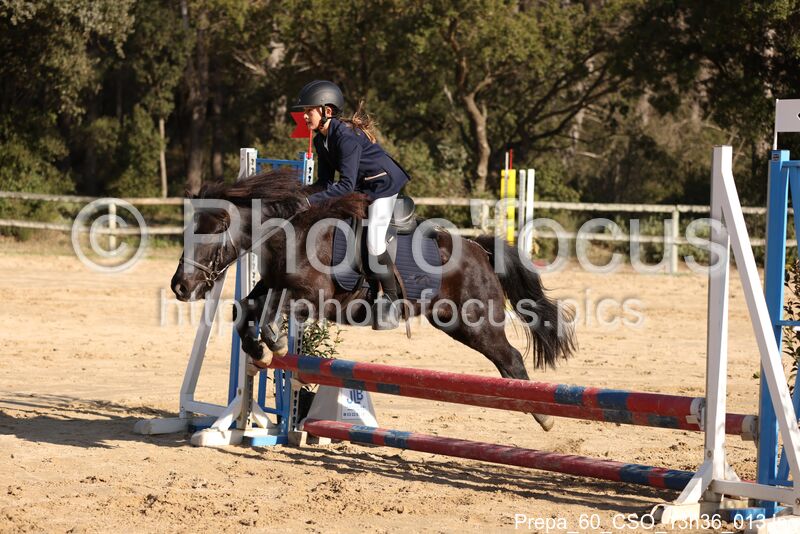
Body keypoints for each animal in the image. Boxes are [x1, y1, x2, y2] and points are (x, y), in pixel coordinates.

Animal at [170, 167, 576, 431]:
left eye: (212, 233)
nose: (180, 287)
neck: (290, 232)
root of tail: (479, 249)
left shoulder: (313, 297)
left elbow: (274, 317)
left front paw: (275, 345)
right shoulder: (271, 285)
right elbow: (243, 310)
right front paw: (260, 353)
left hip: (474, 323)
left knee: (511, 359)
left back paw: (543, 415)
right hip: (455, 322)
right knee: (507, 361)